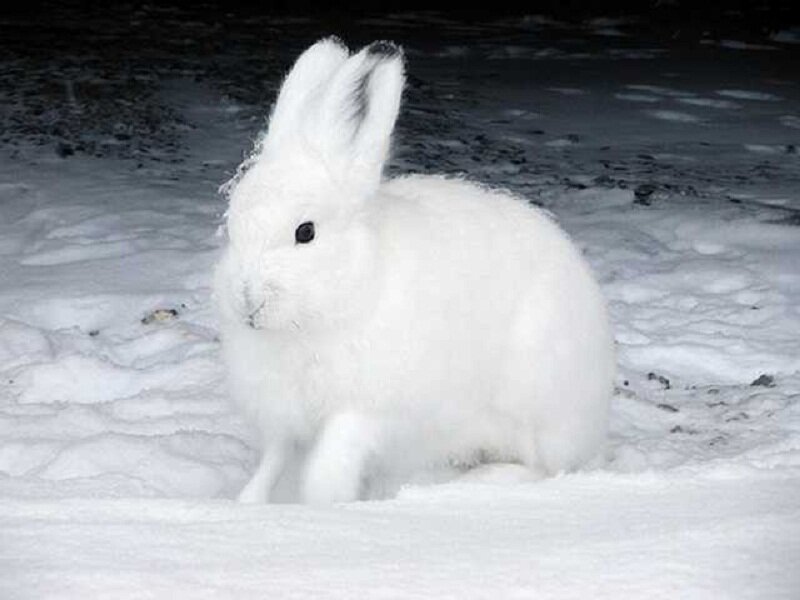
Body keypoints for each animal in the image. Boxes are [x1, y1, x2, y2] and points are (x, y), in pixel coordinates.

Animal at [214, 37, 615, 505]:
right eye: (234, 226)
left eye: (305, 232)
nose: (247, 301)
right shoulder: (286, 419)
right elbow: (272, 462)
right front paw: (247, 503)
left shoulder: (363, 412)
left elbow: (328, 465)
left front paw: (326, 505)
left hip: (532, 400)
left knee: (542, 468)